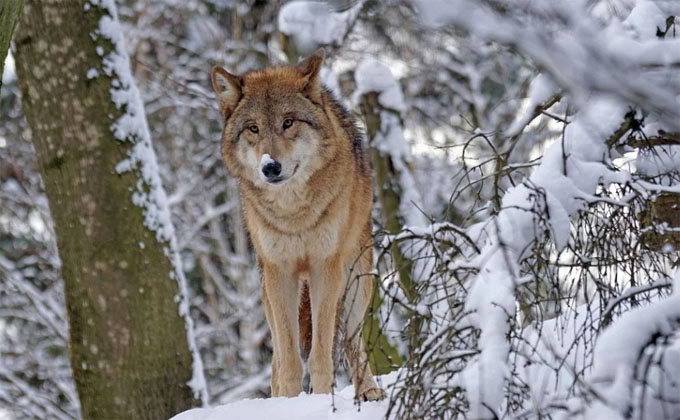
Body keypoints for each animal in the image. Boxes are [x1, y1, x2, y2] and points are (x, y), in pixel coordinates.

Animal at [210, 49, 386, 400]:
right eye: (253, 128)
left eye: (288, 122)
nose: (270, 167)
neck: (294, 214)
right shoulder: (280, 273)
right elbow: (289, 357)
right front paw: (289, 401)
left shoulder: (324, 266)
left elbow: (320, 350)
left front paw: (320, 397)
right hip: (267, 291)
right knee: (277, 358)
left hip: (357, 281)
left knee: (351, 341)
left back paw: (368, 391)